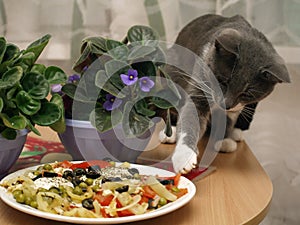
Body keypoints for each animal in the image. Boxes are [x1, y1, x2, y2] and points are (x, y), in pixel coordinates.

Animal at [162, 14, 290, 173]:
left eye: (246, 94)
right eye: (222, 81)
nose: (226, 104)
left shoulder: (239, 106)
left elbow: (228, 119)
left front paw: (224, 140)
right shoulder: (200, 83)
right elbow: (191, 118)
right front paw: (184, 157)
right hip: (171, 71)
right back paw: (170, 132)